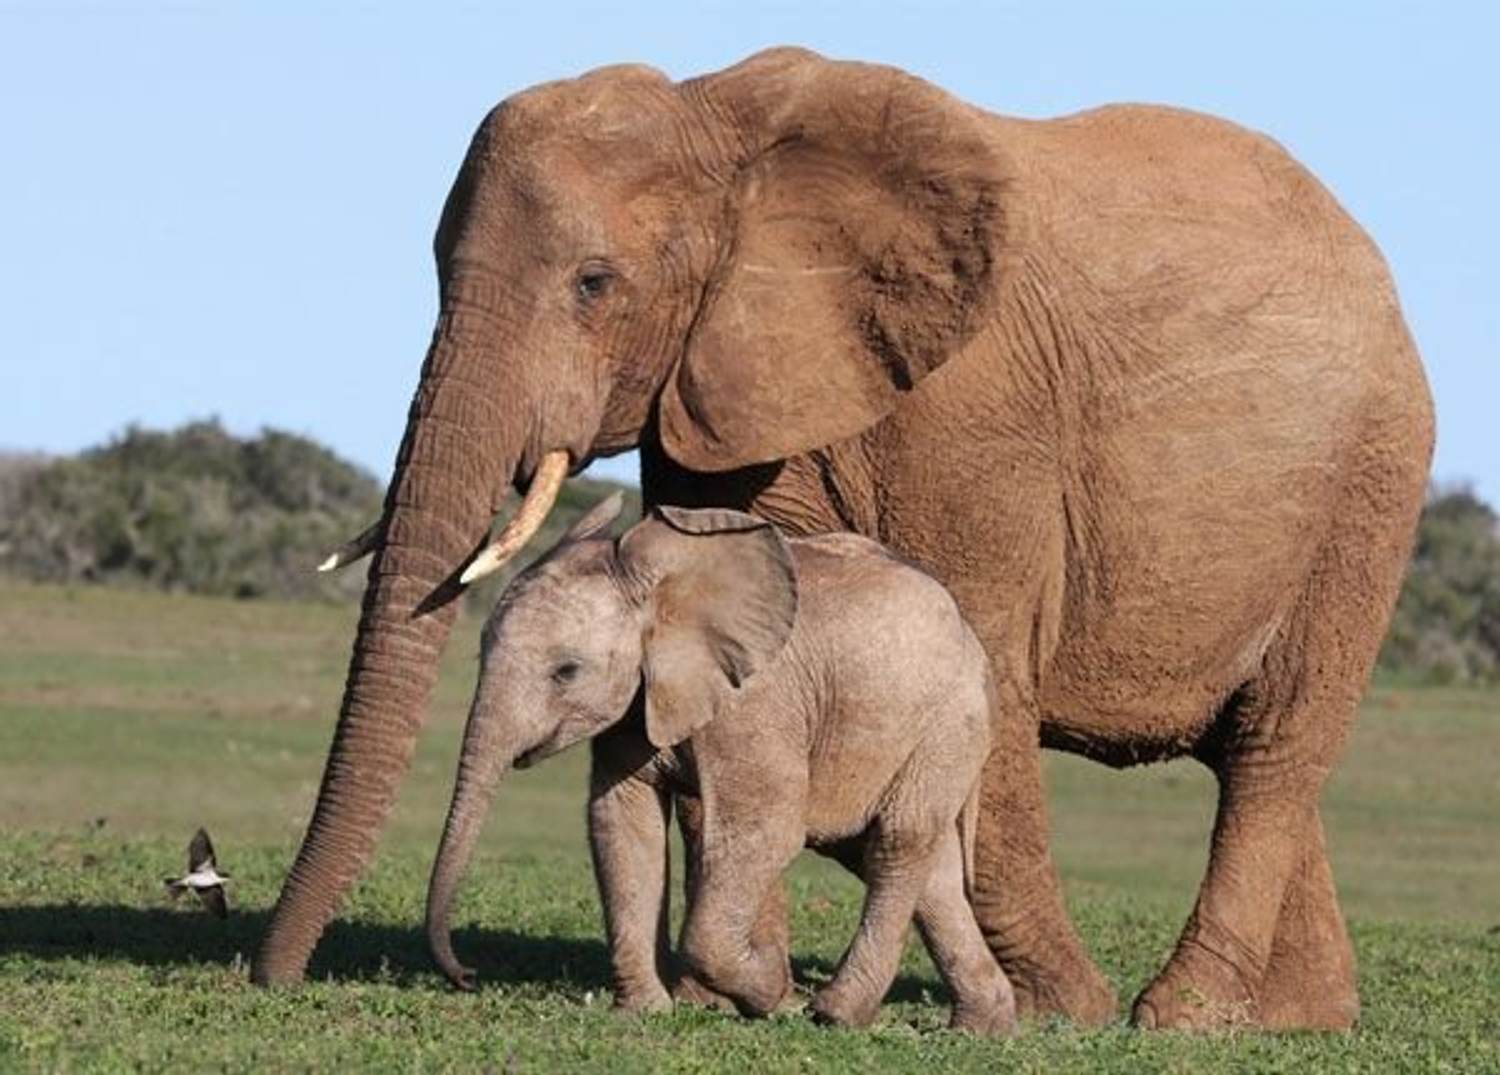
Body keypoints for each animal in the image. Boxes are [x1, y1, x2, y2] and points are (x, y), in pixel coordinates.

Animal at [424, 496, 1019, 1034]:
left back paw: (835, 1014)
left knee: (897, 841)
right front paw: (644, 1014)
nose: (466, 975)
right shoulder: (638, 703)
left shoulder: (755, 702)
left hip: (949, 725)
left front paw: (775, 997)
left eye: (566, 671)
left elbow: (765, 830)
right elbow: (624, 823)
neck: (662, 589)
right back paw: (981, 1028)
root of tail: (974, 642)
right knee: (926, 866)